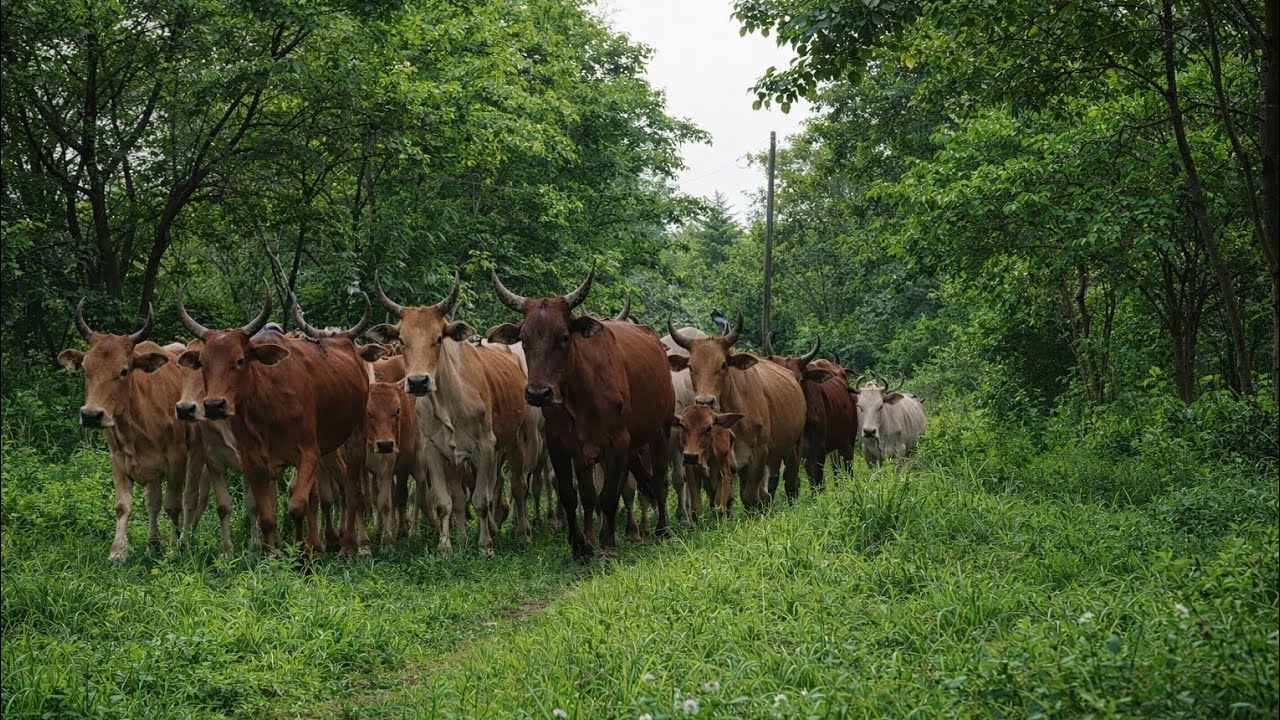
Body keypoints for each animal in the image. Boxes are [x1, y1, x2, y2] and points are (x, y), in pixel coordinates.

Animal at [57, 301, 191, 562]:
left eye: (124, 370)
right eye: (85, 369)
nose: (91, 415)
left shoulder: (177, 460)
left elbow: (173, 505)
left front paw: (174, 547)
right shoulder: (119, 460)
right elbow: (123, 506)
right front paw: (118, 551)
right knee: (152, 503)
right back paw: (153, 544)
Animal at [174, 289, 372, 557]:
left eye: (240, 360)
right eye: (203, 363)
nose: (214, 405)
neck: (267, 403)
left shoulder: (308, 453)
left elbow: (297, 505)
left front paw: (304, 552)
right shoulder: (252, 462)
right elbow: (267, 515)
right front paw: (274, 555)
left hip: (355, 437)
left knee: (351, 490)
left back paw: (349, 545)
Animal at [368, 271, 530, 555]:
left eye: (438, 338)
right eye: (402, 340)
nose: (418, 382)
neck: (447, 403)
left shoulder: (485, 447)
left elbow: (481, 499)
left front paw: (485, 545)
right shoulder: (433, 451)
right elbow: (446, 502)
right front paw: (446, 547)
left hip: (514, 441)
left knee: (516, 487)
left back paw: (520, 532)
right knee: (461, 496)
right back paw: (467, 536)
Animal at [487, 266, 674, 559]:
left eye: (564, 337)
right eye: (524, 340)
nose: (538, 393)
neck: (581, 395)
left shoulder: (618, 443)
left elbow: (608, 495)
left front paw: (607, 545)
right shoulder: (562, 445)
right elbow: (575, 495)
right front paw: (581, 545)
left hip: (660, 432)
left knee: (660, 480)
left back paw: (662, 529)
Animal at [666, 311, 805, 509]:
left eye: (723, 364)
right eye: (691, 366)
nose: (705, 401)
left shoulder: (759, 454)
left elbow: (749, 497)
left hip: (793, 447)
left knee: (791, 482)